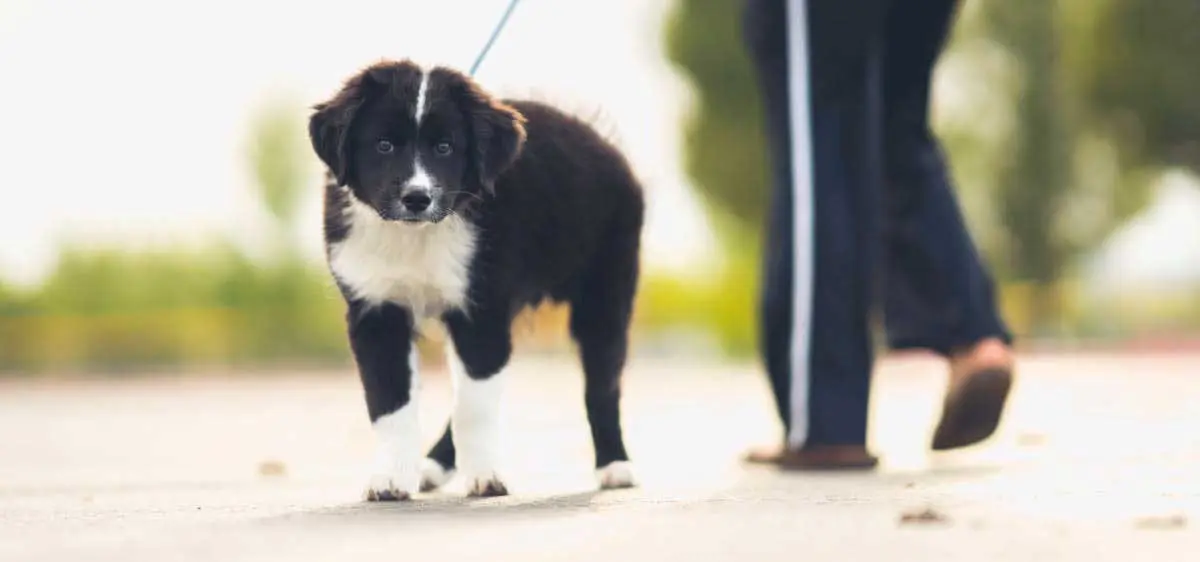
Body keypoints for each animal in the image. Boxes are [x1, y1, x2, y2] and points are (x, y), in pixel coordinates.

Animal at [309, 60, 648, 499]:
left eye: (445, 147)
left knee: (602, 385)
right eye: (383, 145)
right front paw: (390, 479)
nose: (416, 198)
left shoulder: (482, 311)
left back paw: (615, 466)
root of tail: (600, 139)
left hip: (605, 294)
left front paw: (485, 476)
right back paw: (432, 467)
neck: (416, 236)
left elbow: (474, 407)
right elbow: (389, 402)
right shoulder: (376, 311)